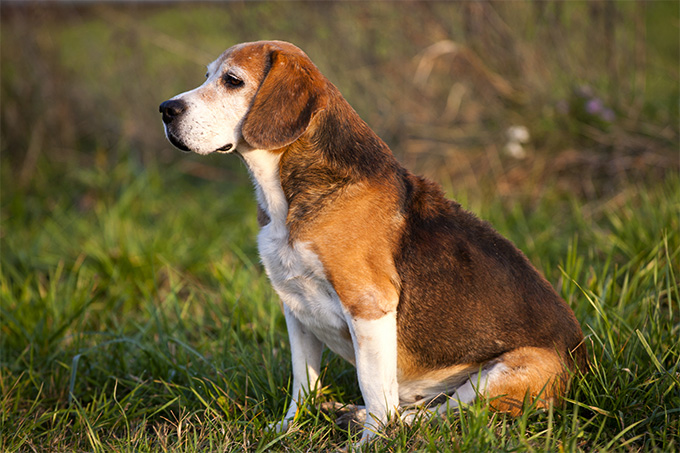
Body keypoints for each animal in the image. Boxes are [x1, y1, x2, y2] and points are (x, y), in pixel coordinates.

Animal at [158, 40, 584, 444]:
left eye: (232, 81)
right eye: (207, 75)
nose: (165, 109)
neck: (287, 197)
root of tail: (582, 366)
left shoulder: (368, 306)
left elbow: (374, 388)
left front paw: (372, 441)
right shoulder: (295, 308)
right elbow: (303, 383)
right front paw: (289, 428)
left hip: (509, 371)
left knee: (437, 415)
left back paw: (375, 421)